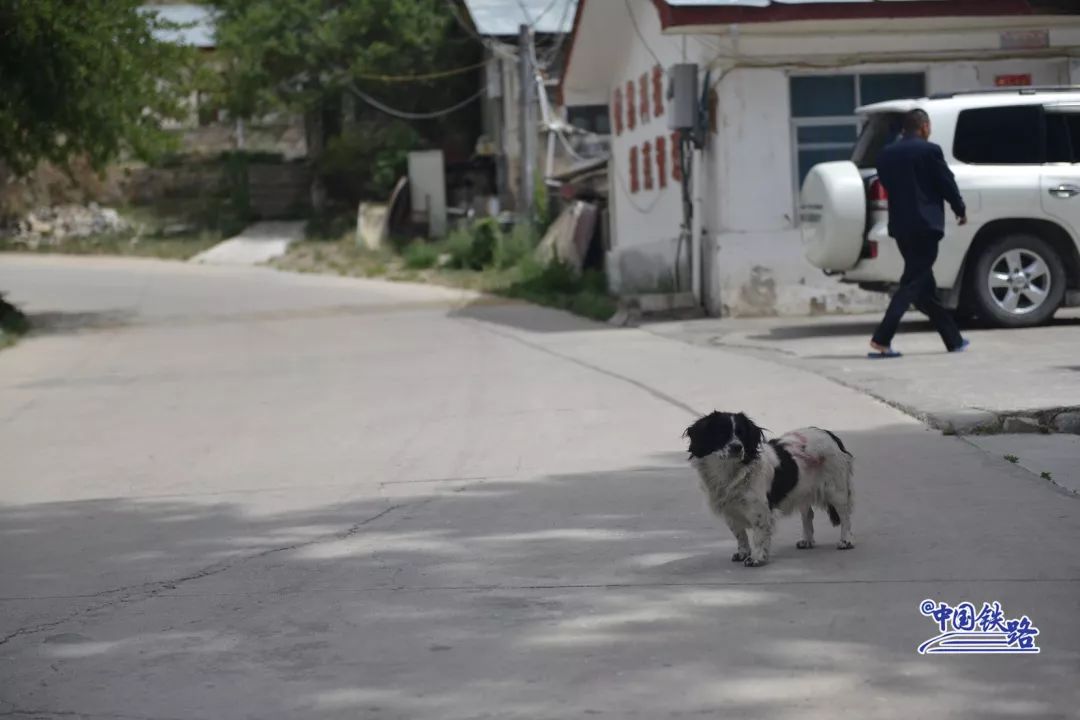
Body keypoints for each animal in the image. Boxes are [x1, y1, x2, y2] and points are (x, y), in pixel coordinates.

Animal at [682, 410, 851, 569]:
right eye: (721, 433)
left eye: (741, 433)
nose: (737, 447)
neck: (730, 473)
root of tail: (828, 433)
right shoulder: (730, 512)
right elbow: (740, 535)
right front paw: (743, 553)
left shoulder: (760, 511)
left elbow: (758, 536)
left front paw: (756, 558)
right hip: (802, 491)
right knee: (808, 515)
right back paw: (807, 540)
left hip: (836, 491)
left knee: (845, 516)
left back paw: (846, 540)